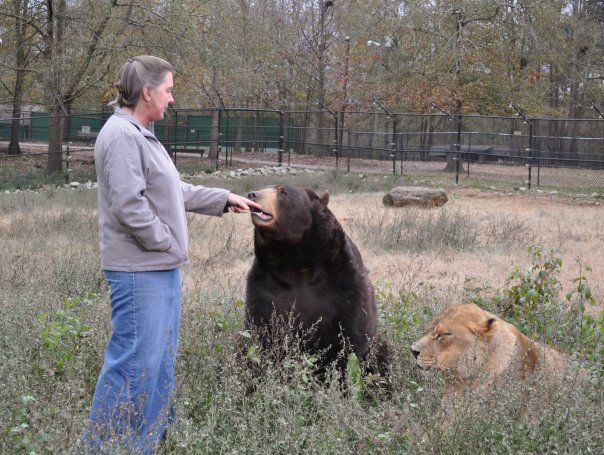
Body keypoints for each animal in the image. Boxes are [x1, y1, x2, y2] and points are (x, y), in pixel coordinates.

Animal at [244, 185, 378, 370]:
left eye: (283, 192)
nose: (253, 194)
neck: (297, 261)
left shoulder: (344, 282)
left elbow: (352, 330)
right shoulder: (265, 283)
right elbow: (261, 326)